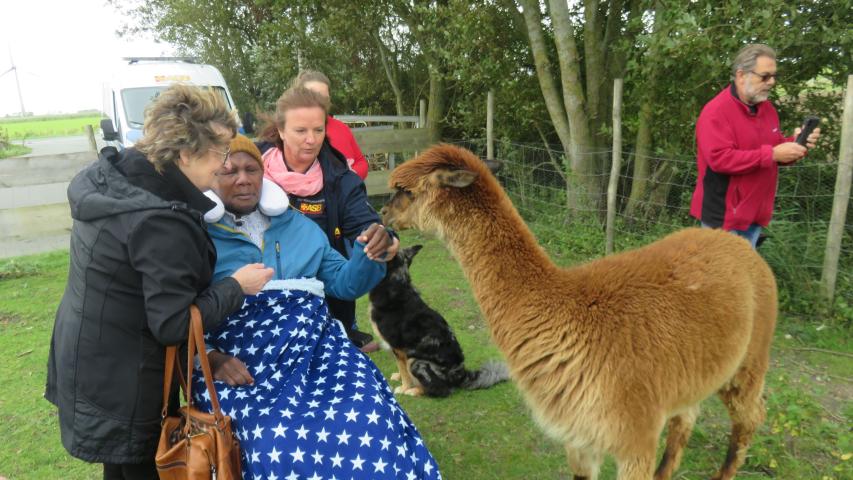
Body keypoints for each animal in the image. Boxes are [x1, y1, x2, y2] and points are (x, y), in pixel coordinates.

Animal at [381, 144, 777, 480]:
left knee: (750, 417)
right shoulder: (579, 436)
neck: (566, 316)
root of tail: (739, 244)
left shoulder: (634, 438)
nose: (383, 213)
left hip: (751, 358)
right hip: (690, 375)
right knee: (687, 418)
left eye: (406, 190)